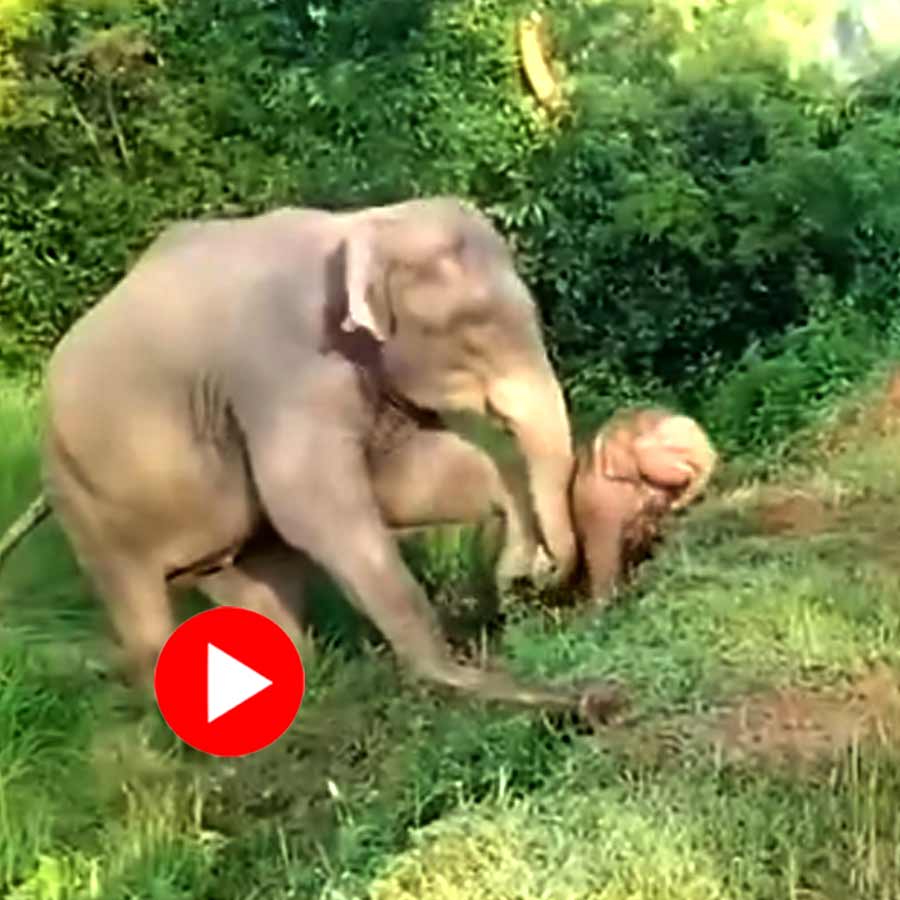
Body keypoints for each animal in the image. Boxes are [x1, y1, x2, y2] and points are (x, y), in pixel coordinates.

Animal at [26, 196, 621, 721]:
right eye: (472, 328)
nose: (538, 578)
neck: (363, 226)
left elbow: (408, 476)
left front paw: (515, 558)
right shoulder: (283, 369)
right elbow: (314, 507)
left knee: (257, 576)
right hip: (81, 494)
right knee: (141, 601)